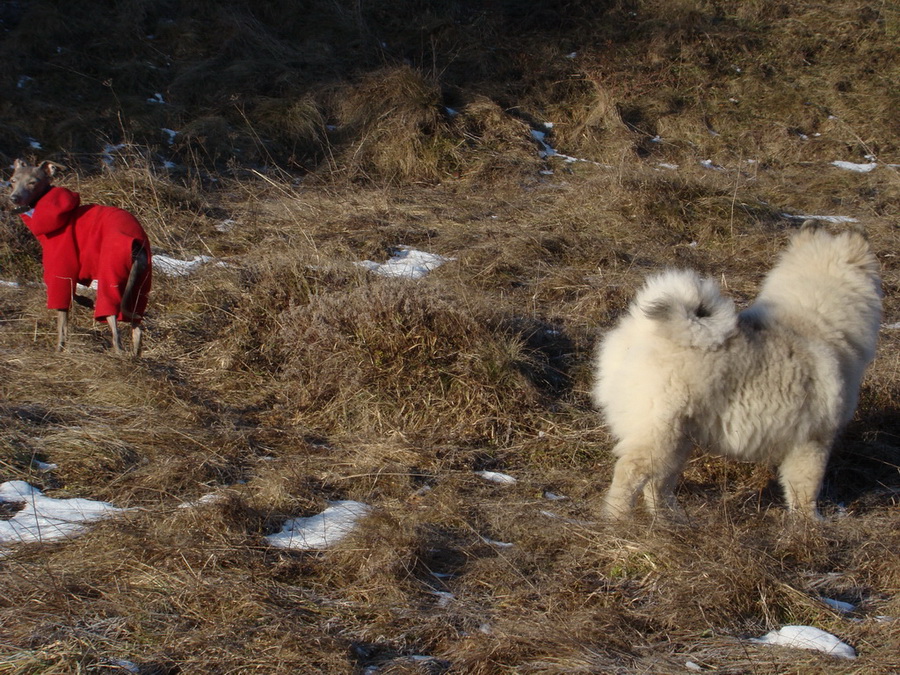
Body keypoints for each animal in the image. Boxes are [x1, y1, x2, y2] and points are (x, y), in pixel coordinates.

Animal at [8, 160, 151, 356]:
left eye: (33, 182)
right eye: (12, 181)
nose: (13, 198)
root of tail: (137, 245)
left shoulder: (61, 270)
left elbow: (62, 322)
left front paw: (59, 350)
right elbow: (73, 295)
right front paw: (86, 301)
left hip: (111, 278)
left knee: (115, 330)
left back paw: (119, 352)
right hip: (139, 288)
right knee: (137, 327)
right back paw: (136, 355)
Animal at [596, 224, 884, 520]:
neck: (819, 321)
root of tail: (643, 333)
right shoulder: (814, 441)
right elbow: (806, 488)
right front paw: (810, 522)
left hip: (679, 437)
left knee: (659, 482)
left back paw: (671, 519)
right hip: (661, 432)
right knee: (631, 473)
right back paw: (619, 520)